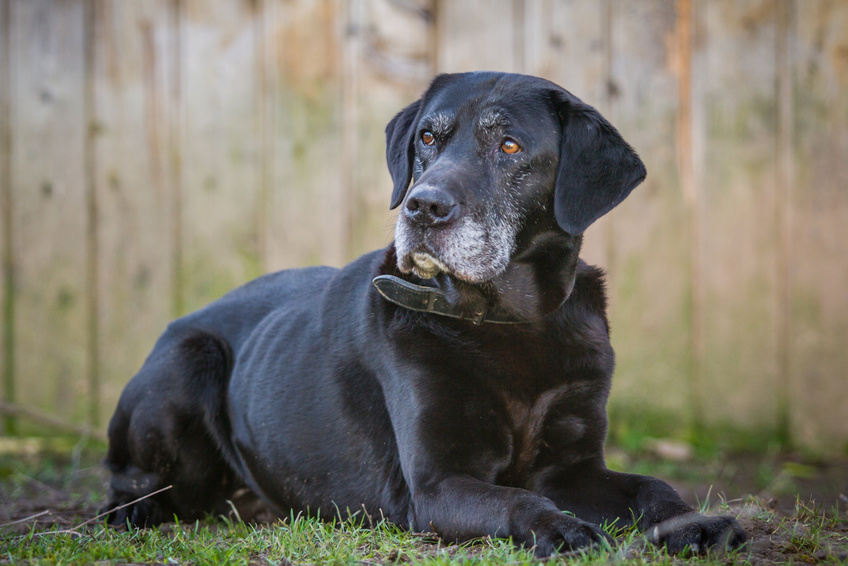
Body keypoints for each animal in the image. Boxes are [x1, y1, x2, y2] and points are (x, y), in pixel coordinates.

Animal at [102, 73, 744, 556]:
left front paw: (696, 523)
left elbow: (651, 485)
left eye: (509, 146)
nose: (422, 206)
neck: (513, 321)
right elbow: (518, 499)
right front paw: (560, 528)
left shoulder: (573, 467)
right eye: (428, 138)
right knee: (129, 486)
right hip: (189, 363)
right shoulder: (435, 486)